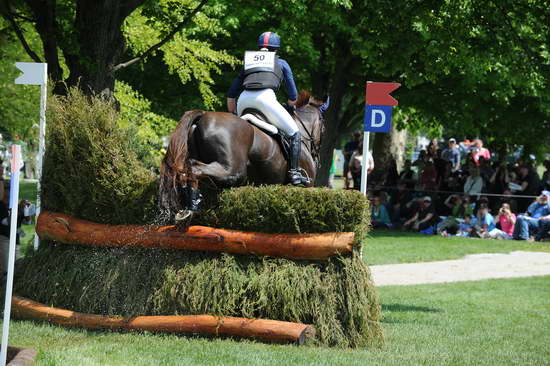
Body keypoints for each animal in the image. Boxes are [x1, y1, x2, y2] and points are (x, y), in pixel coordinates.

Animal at [158, 101, 324, 217]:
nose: (317, 156)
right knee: (194, 168)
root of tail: (204, 115)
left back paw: (189, 205)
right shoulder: (308, 186)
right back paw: (192, 206)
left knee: (185, 171)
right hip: (233, 171)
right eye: (323, 127)